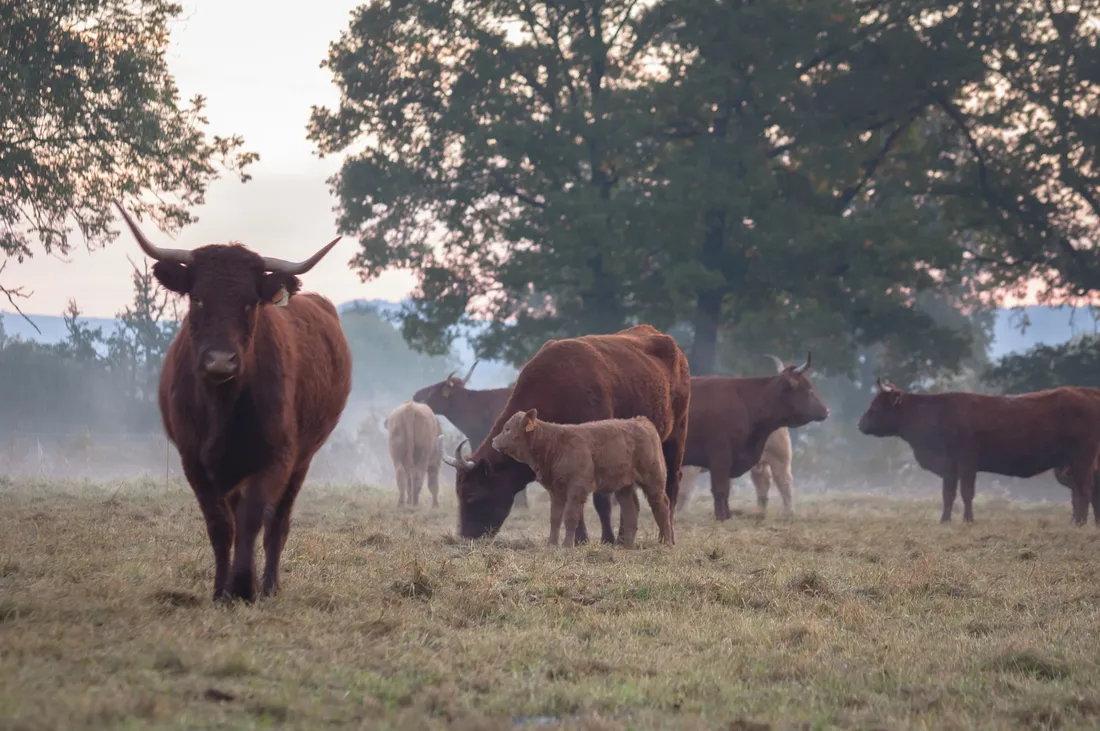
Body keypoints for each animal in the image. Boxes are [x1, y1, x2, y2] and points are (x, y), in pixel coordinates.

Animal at [114, 201, 352, 602]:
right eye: (197, 297)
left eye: (249, 303)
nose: (220, 361)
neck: (222, 405)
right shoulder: (193, 460)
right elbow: (220, 525)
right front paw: (220, 590)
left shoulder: (278, 457)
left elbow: (254, 517)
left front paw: (243, 587)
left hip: (303, 459)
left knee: (278, 521)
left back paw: (269, 585)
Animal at [491, 410, 672, 548]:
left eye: (507, 429)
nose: (494, 441)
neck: (555, 443)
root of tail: (642, 421)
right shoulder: (556, 491)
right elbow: (555, 519)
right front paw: (551, 545)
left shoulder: (577, 488)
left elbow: (570, 517)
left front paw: (566, 546)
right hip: (624, 486)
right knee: (631, 508)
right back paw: (626, 545)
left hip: (653, 481)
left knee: (661, 506)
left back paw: (666, 543)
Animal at [681, 354, 829, 521]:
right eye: (810, 390)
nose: (826, 411)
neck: (746, 401)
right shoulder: (718, 458)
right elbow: (716, 490)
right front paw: (722, 517)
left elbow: (721, 490)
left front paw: (725, 516)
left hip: (778, 460)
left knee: (782, 483)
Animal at [857, 380, 1100, 525]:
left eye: (876, 406)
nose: (860, 424)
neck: (935, 414)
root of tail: (1086, 392)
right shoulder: (949, 468)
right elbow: (948, 494)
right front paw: (945, 520)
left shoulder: (966, 463)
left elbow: (966, 492)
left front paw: (968, 520)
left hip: (1081, 461)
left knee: (1085, 492)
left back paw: (1079, 523)